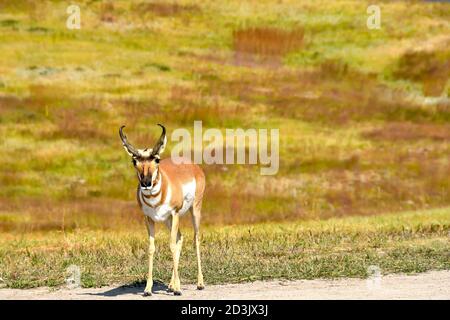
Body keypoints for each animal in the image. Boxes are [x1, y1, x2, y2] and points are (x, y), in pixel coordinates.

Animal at [118, 124, 205, 296]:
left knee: (195, 239)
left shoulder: (175, 213)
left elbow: (171, 245)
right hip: (167, 221)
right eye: (134, 161)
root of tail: (193, 166)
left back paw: (199, 283)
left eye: (157, 159)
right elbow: (152, 248)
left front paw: (178, 289)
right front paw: (147, 289)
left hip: (194, 210)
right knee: (180, 238)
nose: (146, 183)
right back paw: (171, 284)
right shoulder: (149, 219)